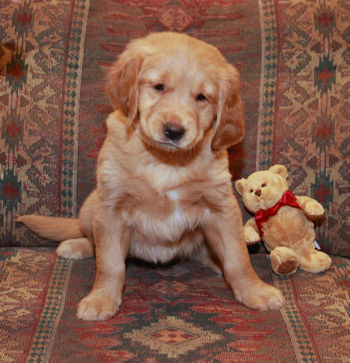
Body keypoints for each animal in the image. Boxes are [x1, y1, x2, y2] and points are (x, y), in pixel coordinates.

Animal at [17, 32, 284, 322]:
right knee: (92, 241)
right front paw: (101, 298)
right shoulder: (111, 208)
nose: (174, 131)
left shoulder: (221, 209)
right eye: (158, 86)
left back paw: (216, 262)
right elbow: (110, 263)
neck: (165, 162)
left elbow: (238, 259)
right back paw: (76, 246)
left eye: (202, 97)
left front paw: (254, 290)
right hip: (91, 207)